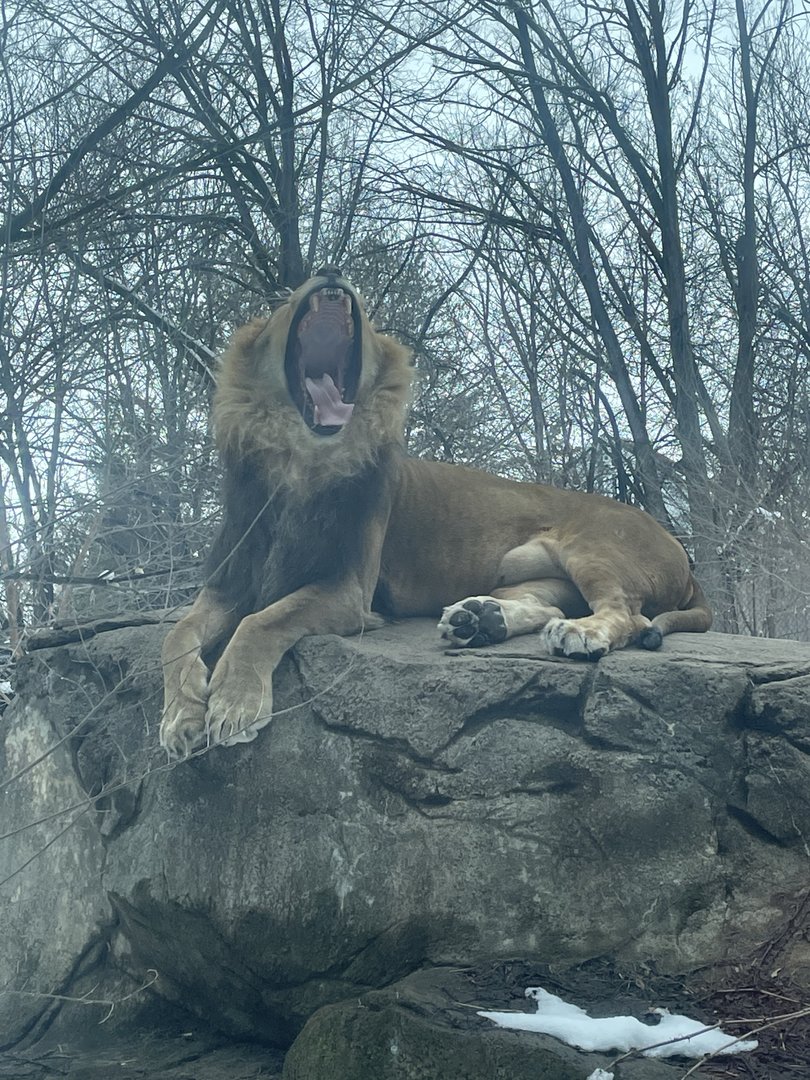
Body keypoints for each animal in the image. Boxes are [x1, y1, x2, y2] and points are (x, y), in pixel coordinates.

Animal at [160, 267, 712, 758]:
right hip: (524, 572)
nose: (330, 271)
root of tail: (679, 548)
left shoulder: (350, 589)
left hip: (593, 548)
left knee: (626, 613)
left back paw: (578, 633)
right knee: (550, 606)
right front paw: (179, 717)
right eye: (282, 300)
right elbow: (178, 633)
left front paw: (234, 706)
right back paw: (478, 621)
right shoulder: (228, 582)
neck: (298, 462)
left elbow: (262, 621)